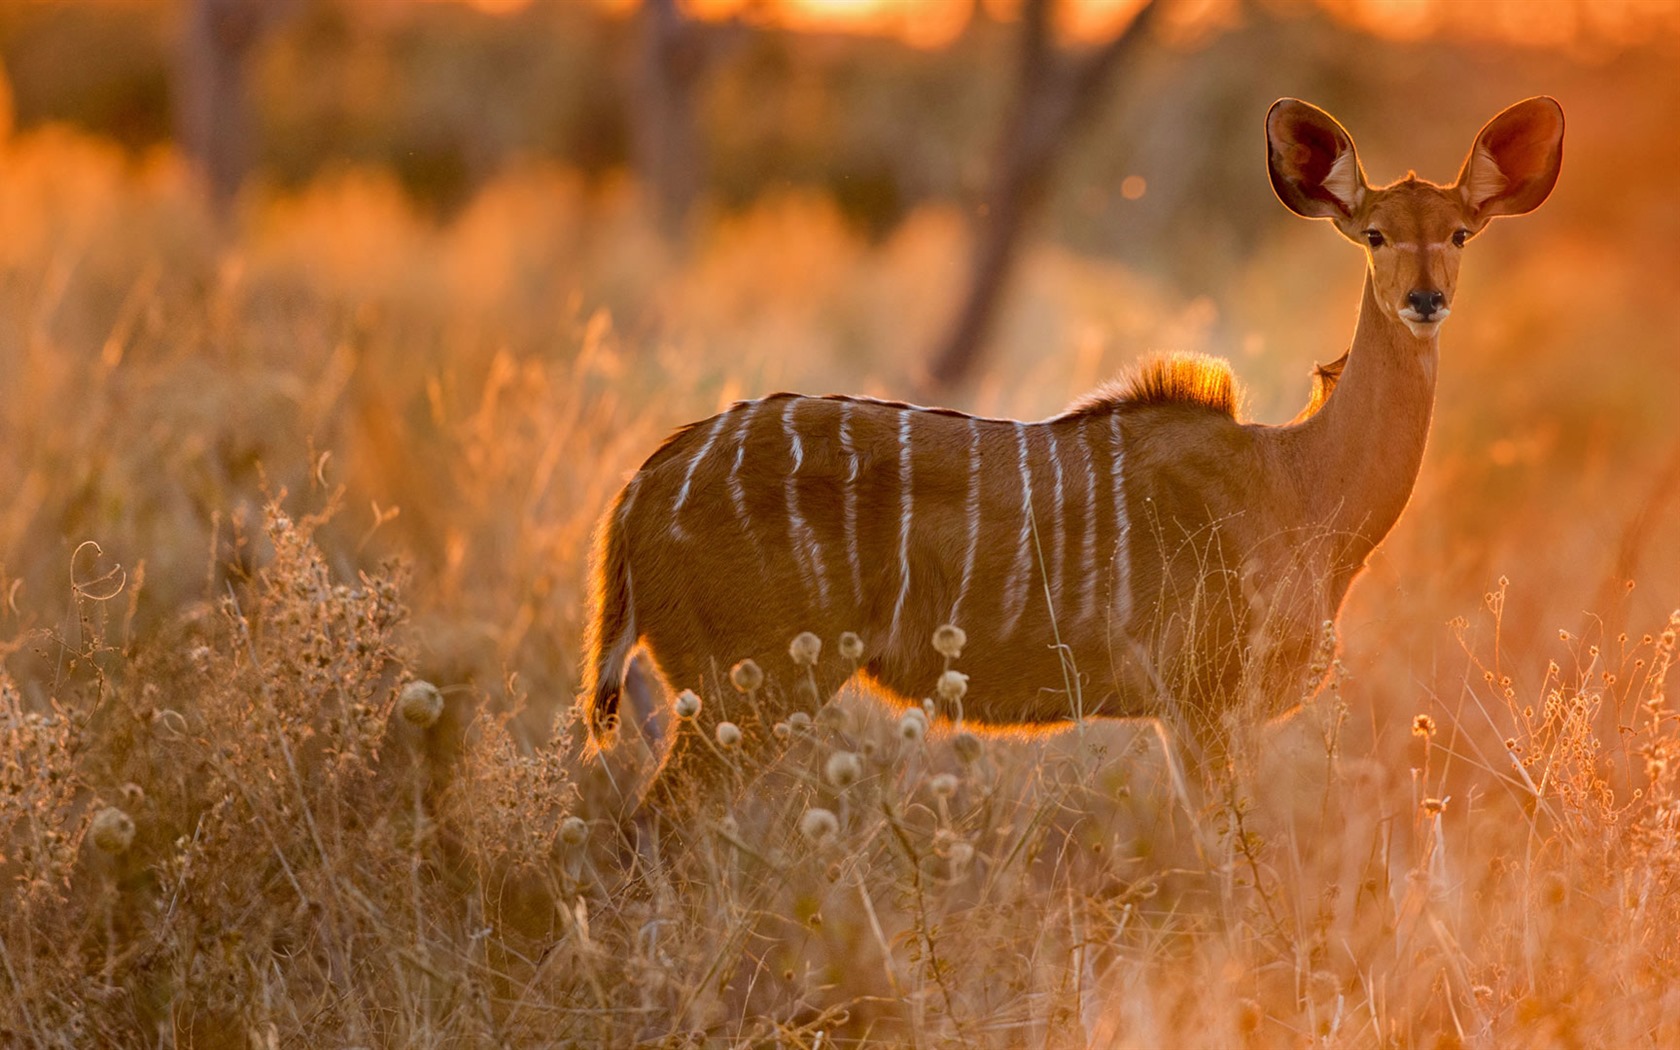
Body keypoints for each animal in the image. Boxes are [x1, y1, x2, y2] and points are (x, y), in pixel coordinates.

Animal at [584, 98, 1565, 799]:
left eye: (1461, 233)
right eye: (1374, 234)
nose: (1427, 300)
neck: (1298, 481)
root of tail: (641, 488)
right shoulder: (1202, 709)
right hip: (746, 693)